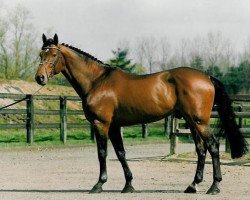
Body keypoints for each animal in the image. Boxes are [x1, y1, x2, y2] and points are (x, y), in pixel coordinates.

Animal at [35, 34, 248, 194]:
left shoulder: (101, 123)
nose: (40, 78)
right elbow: (121, 153)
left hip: (199, 121)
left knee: (213, 146)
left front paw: (98, 184)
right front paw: (128, 185)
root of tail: (207, 77)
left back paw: (214, 186)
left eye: (53, 54)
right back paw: (193, 185)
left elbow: (102, 153)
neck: (97, 81)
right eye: (40, 54)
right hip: (192, 121)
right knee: (201, 149)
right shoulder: (114, 126)